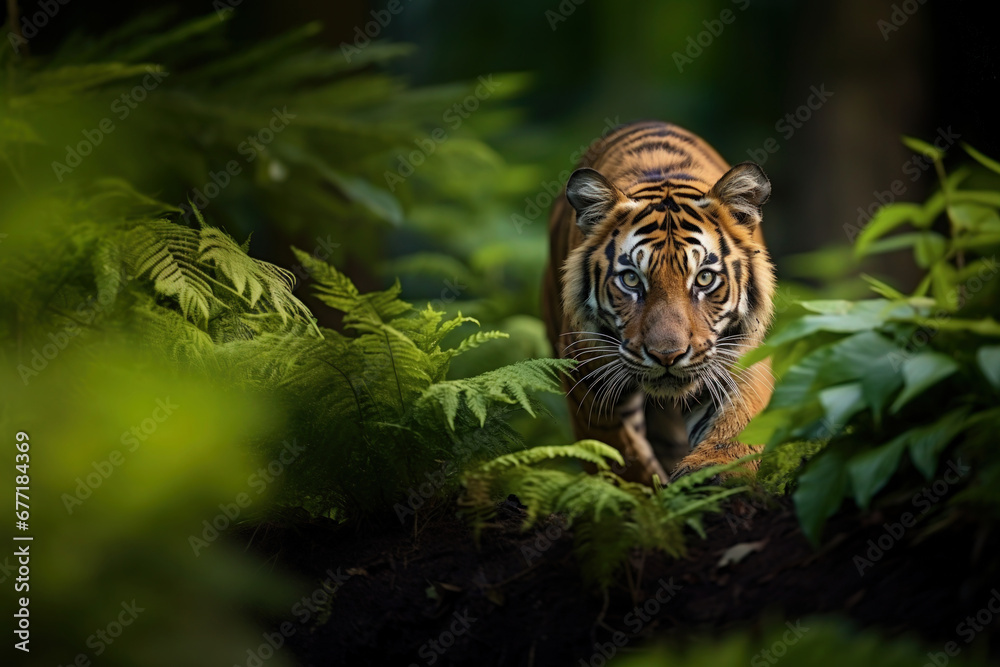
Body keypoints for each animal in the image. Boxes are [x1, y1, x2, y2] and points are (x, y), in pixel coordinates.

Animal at [544, 120, 776, 486]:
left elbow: (738, 425)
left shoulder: (741, 355)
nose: (667, 356)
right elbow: (618, 454)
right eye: (631, 280)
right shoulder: (586, 374)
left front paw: (713, 470)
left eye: (704, 279)